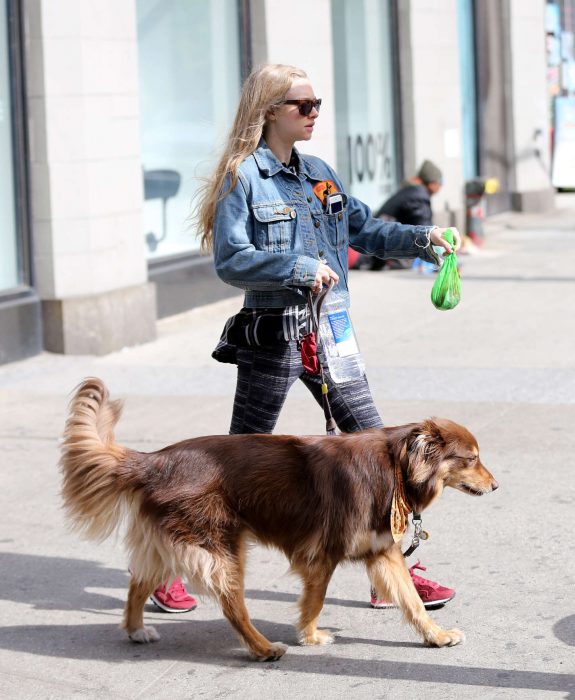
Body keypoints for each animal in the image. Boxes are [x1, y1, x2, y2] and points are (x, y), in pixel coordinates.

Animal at [59, 380, 500, 660]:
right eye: (472, 458)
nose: (496, 486)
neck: (396, 465)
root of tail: (154, 461)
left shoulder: (383, 553)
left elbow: (412, 601)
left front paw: (436, 636)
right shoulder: (322, 556)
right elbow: (316, 601)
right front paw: (309, 635)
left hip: (179, 542)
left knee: (137, 582)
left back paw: (135, 629)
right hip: (221, 548)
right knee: (232, 607)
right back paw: (263, 648)